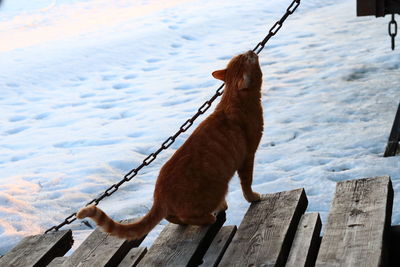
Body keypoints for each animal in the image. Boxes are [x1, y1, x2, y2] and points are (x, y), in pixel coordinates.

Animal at [76, 50, 264, 241]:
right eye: (247, 58)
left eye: (241, 55)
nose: (250, 51)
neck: (232, 98)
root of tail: (159, 196)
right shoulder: (248, 156)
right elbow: (247, 182)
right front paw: (252, 197)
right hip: (218, 188)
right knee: (189, 216)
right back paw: (210, 217)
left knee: (171, 217)